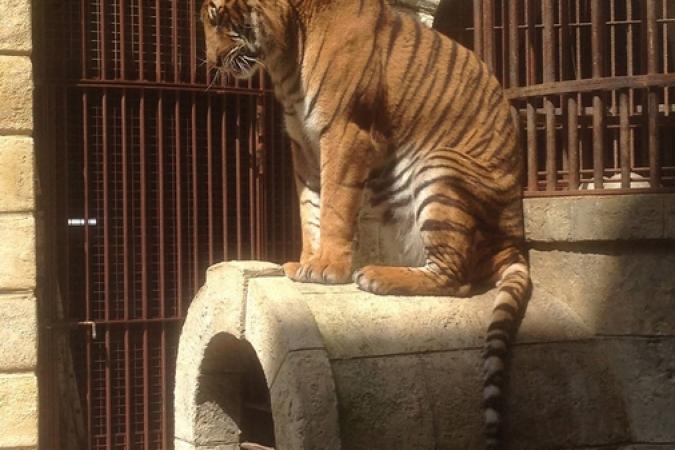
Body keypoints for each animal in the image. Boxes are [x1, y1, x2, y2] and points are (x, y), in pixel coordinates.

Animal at [202, 0, 532, 446]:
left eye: (223, 21)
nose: (212, 62)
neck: (284, 56)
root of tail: (515, 237)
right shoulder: (303, 144)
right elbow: (310, 208)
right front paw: (304, 263)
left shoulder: (345, 131)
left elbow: (335, 204)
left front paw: (326, 268)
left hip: (440, 167)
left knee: (456, 277)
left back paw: (376, 275)